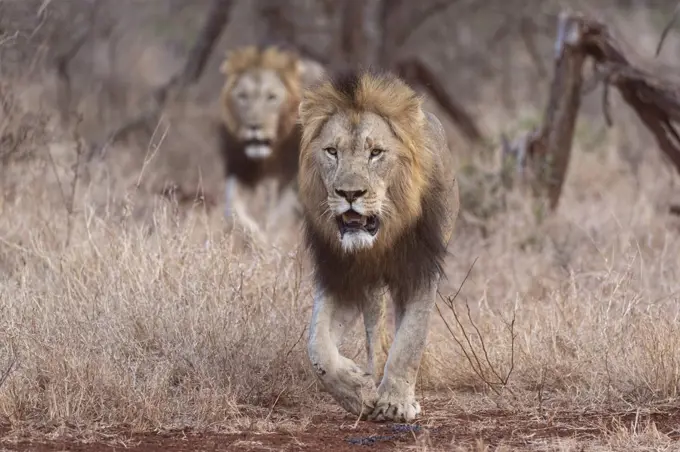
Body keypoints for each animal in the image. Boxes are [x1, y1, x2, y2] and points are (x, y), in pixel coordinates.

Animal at [218, 45, 324, 244]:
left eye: (271, 97)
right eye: (243, 96)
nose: (254, 126)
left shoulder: (296, 178)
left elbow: (281, 216)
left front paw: (271, 241)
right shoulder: (239, 170)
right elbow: (233, 209)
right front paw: (257, 239)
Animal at [296, 69, 460, 422]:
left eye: (376, 153)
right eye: (332, 151)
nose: (350, 194)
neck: (379, 239)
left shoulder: (420, 271)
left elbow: (410, 340)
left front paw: (396, 402)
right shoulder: (341, 276)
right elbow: (317, 346)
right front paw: (356, 391)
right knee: (374, 326)